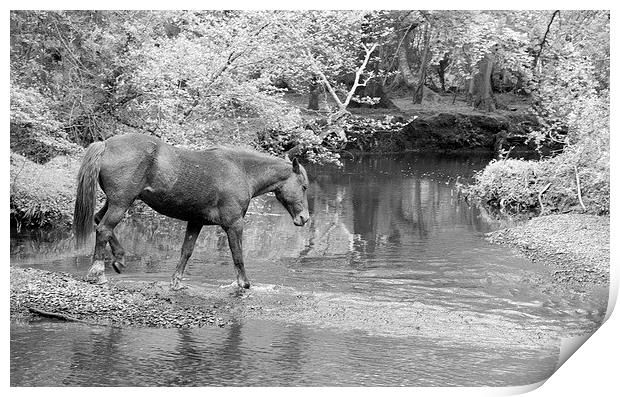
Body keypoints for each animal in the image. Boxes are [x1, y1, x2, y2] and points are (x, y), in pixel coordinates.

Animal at [74, 133, 310, 288]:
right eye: (304, 187)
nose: (305, 218)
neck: (241, 171)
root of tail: (105, 144)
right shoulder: (234, 224)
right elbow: (237, 254)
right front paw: (243, 284)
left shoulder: (196, 221)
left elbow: (186, 251)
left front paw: (176, 282)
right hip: (121, 203)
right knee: (104, 229)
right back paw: (97, 272)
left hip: (117, 202)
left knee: (99, 220)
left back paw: (120, 258)